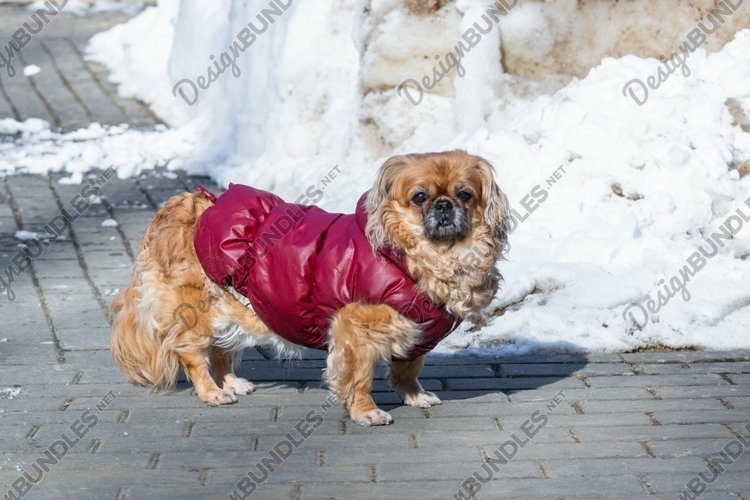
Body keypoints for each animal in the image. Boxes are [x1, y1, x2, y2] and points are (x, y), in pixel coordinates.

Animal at [111, 149, 512, 426]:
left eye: (465, 195)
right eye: (419, 197)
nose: (444, 205)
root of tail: (186, 204)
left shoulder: (417, 331)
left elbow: (408, 369)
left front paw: (414, 396)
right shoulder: (357, 332)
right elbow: (359, 378)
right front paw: (366, 413)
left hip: (232, 306)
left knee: (222, 351)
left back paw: (231, 383)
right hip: (198, 313)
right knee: (193, 355)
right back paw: (212, 392)